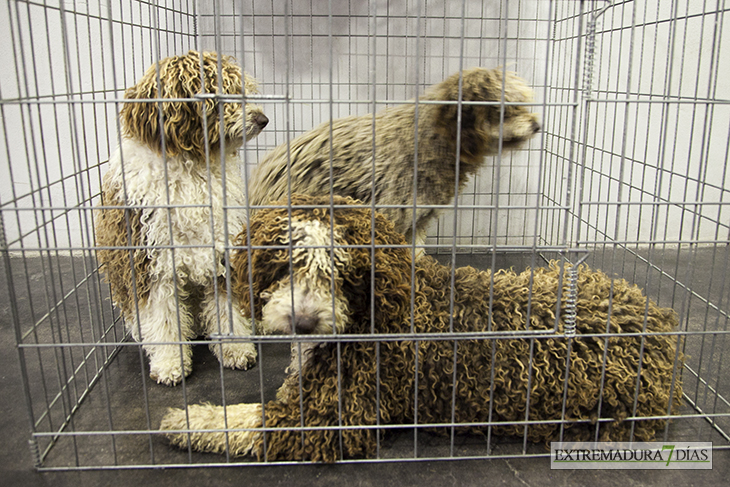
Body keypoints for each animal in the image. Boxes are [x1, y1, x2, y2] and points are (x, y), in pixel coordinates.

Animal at [95, 49, 268, 386]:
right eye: (217, 91)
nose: (262, 119)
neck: (191, 167)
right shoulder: (151, 264)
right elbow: (163, 320)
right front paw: (169, 363)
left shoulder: (222, 251)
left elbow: (227, 311)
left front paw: (237, 348)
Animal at [159, 194, 684, 462]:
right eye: (286, 264)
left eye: (342, 272)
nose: (302, 321)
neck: (375, 313)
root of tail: (662, 327)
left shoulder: (335, 416)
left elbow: (244, 422)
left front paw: (187, 420)